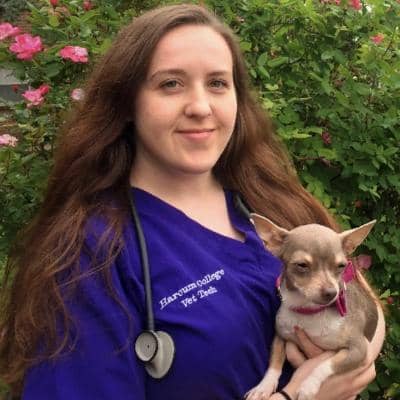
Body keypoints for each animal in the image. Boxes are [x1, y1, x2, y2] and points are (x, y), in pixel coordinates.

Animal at [245, 214, 380, 400]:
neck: (310, 312)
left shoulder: (358, 350)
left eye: (341, 266)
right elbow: (275, 360)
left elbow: (326, 364)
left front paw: (308, 386)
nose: (331, 292)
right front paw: (264, 386)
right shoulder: (280, 336)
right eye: (302, 265)